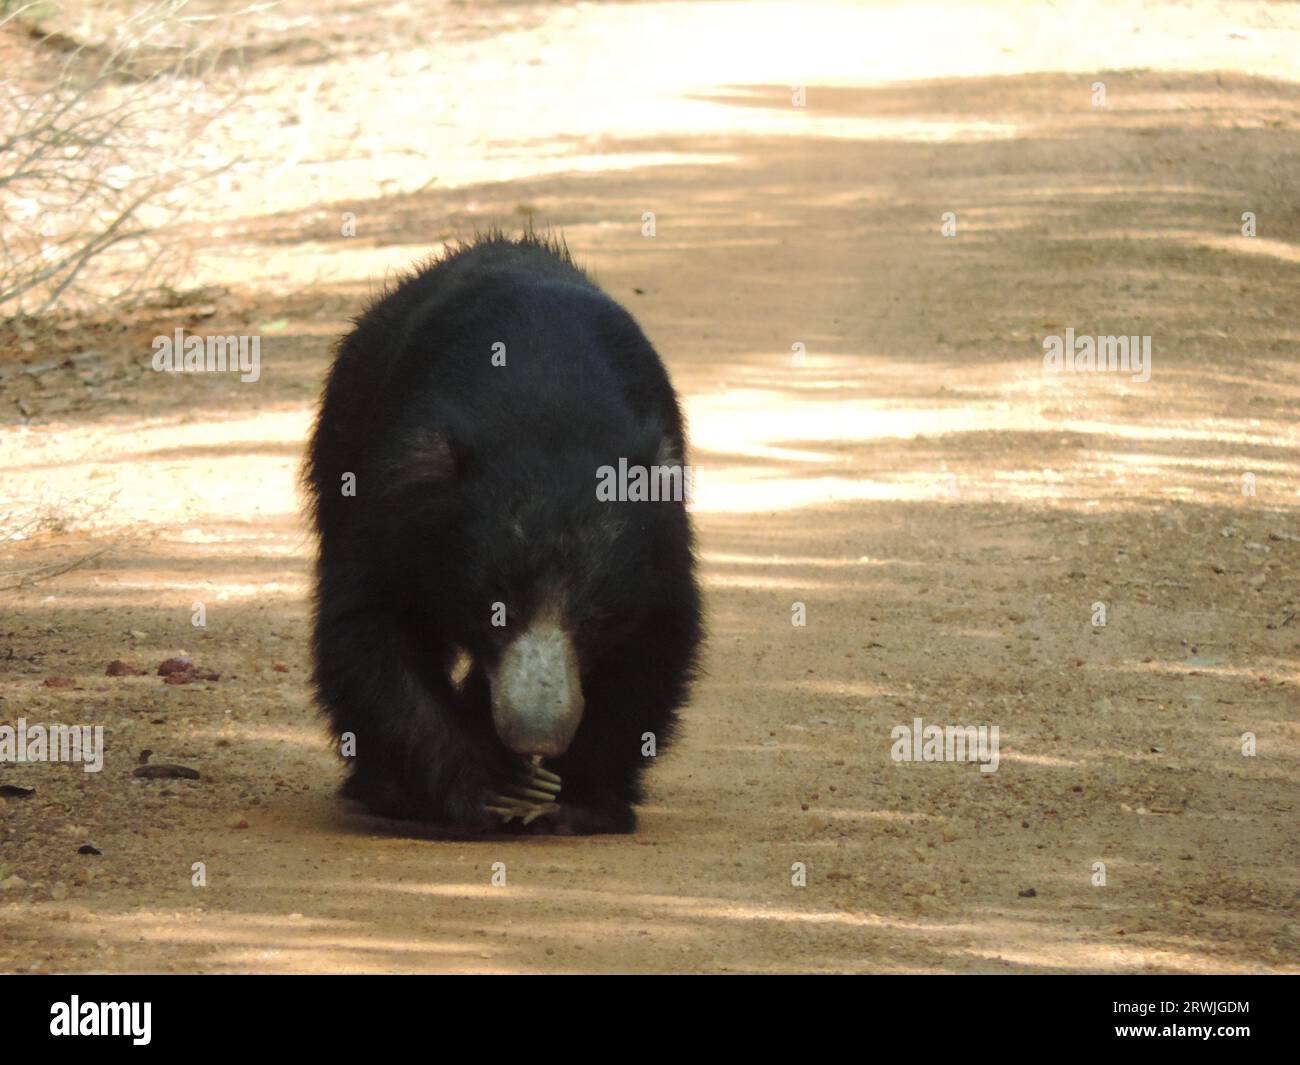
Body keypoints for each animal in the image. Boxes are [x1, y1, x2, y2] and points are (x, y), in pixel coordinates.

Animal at [304, 230, 702, 835]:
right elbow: (373, 621)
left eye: (593, 621)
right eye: (498, 612)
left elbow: (654, 643)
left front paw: (571, 799)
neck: (549, 420)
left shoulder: (662, 533)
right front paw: (489, 788)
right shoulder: (399, 499)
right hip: (341, 438)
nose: (536, 735)